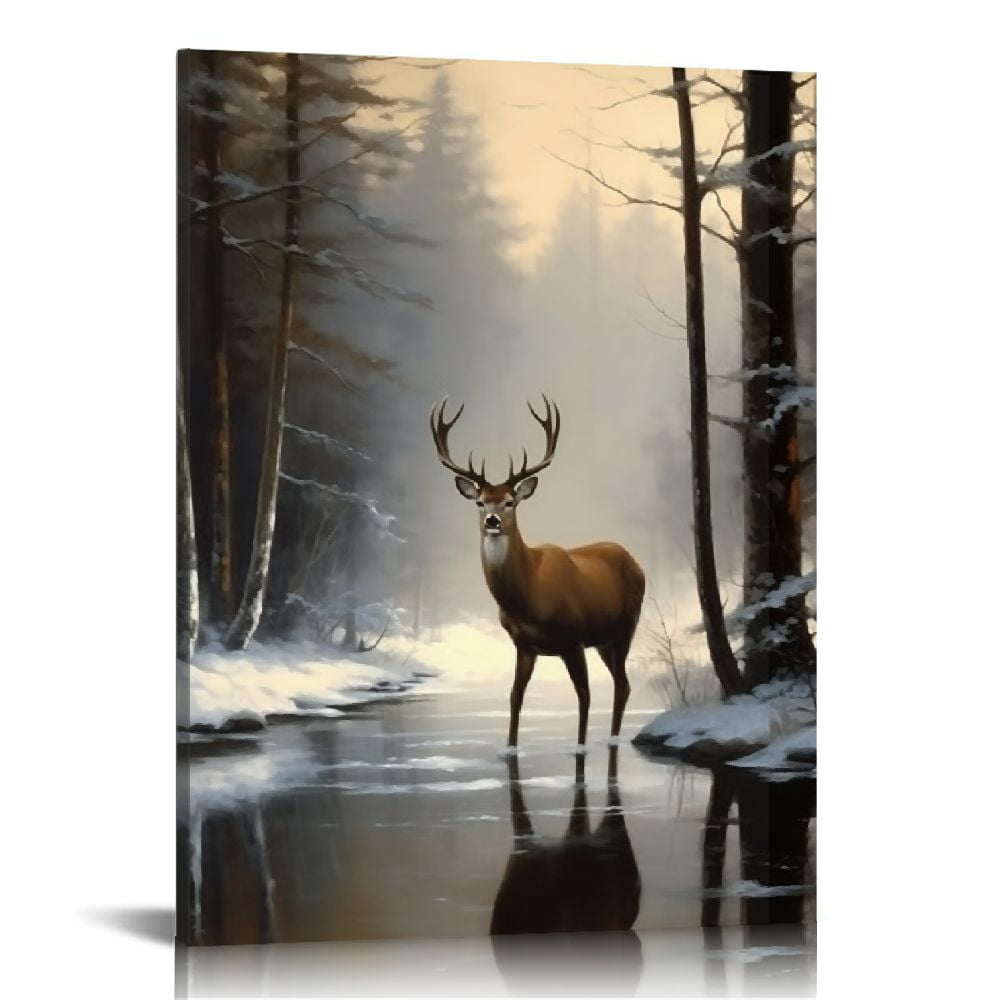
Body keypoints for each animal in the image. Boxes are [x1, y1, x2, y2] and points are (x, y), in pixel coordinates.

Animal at [429, 395, 646, 748]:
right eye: (479, 502)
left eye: (509, 501)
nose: (492, 521)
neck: (529, 597)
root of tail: (636, 561)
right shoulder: (524, 644)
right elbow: (515, 697)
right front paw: (510, 746)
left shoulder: (572, 638)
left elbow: (584, 696)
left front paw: (580, 747)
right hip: (604, 640)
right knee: (622, 683)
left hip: (626, 624)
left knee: (620, 684)